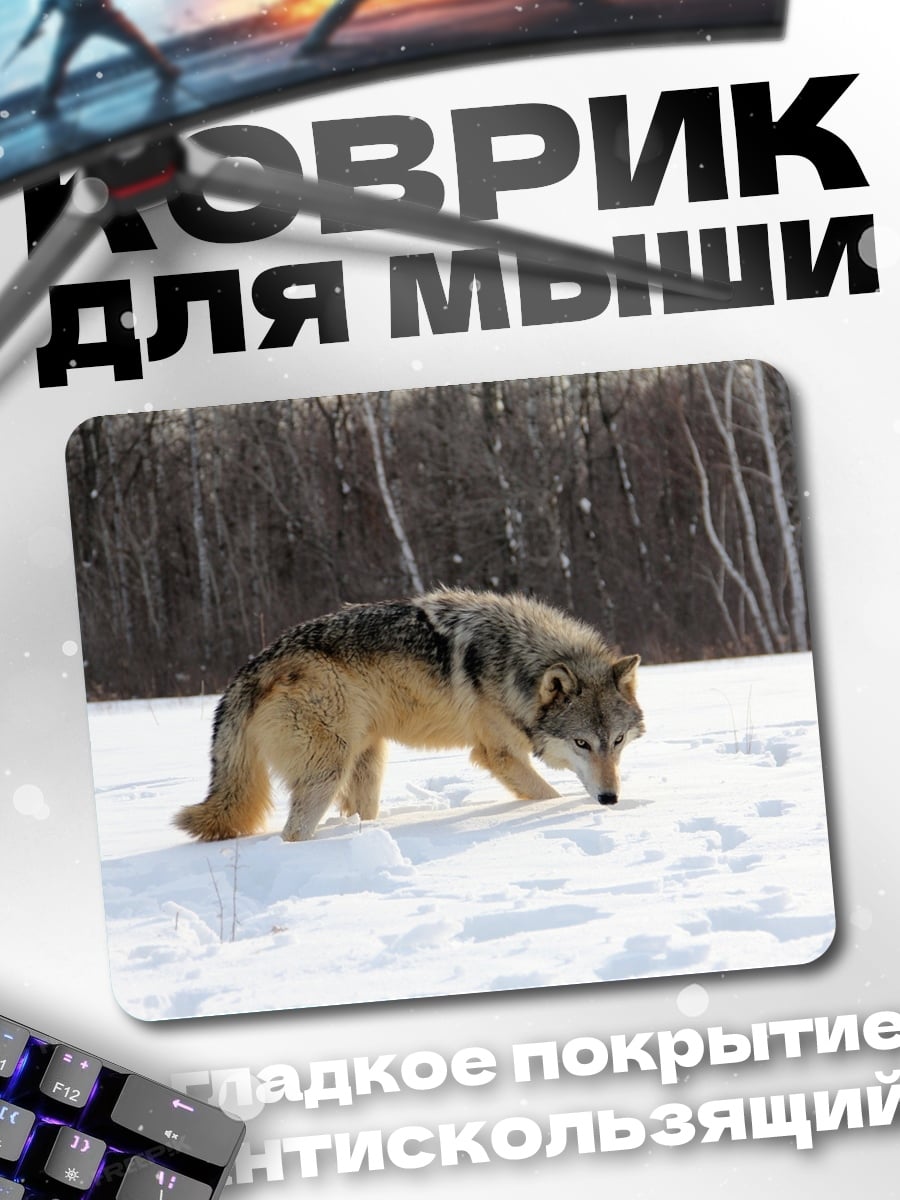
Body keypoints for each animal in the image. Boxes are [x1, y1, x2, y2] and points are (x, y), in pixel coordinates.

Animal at [174, 589, 645, 843]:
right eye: (582, 743)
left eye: (617, 741)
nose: (610, 799)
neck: (514, 663)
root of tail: (251, 668)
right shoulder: (499, 755)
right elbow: (548, 796)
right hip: (327, 772)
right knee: (292, 834)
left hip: (367, 761)